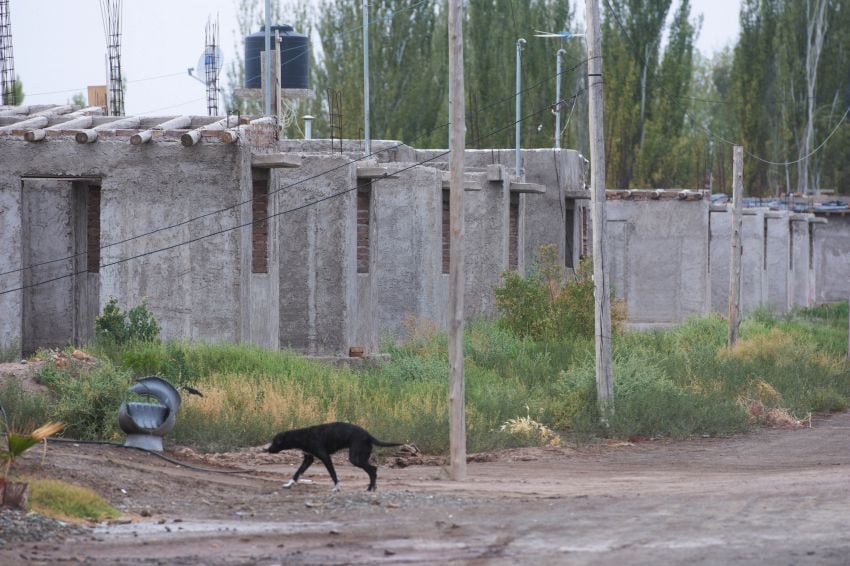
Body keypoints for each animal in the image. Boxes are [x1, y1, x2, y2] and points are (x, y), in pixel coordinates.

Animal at [266, 426, 402, 492]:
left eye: (275, 441)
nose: (267, 449)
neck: (302, 436)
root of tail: (369, 435)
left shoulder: (325, 457)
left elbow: (333, 474)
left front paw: (337, 488)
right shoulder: (308, 459)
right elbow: (297, 473)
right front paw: (289, 484)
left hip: (355, 458)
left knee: (373, 470)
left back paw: (370, 488)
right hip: (360, 457)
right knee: (373, 470)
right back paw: (372, 488)